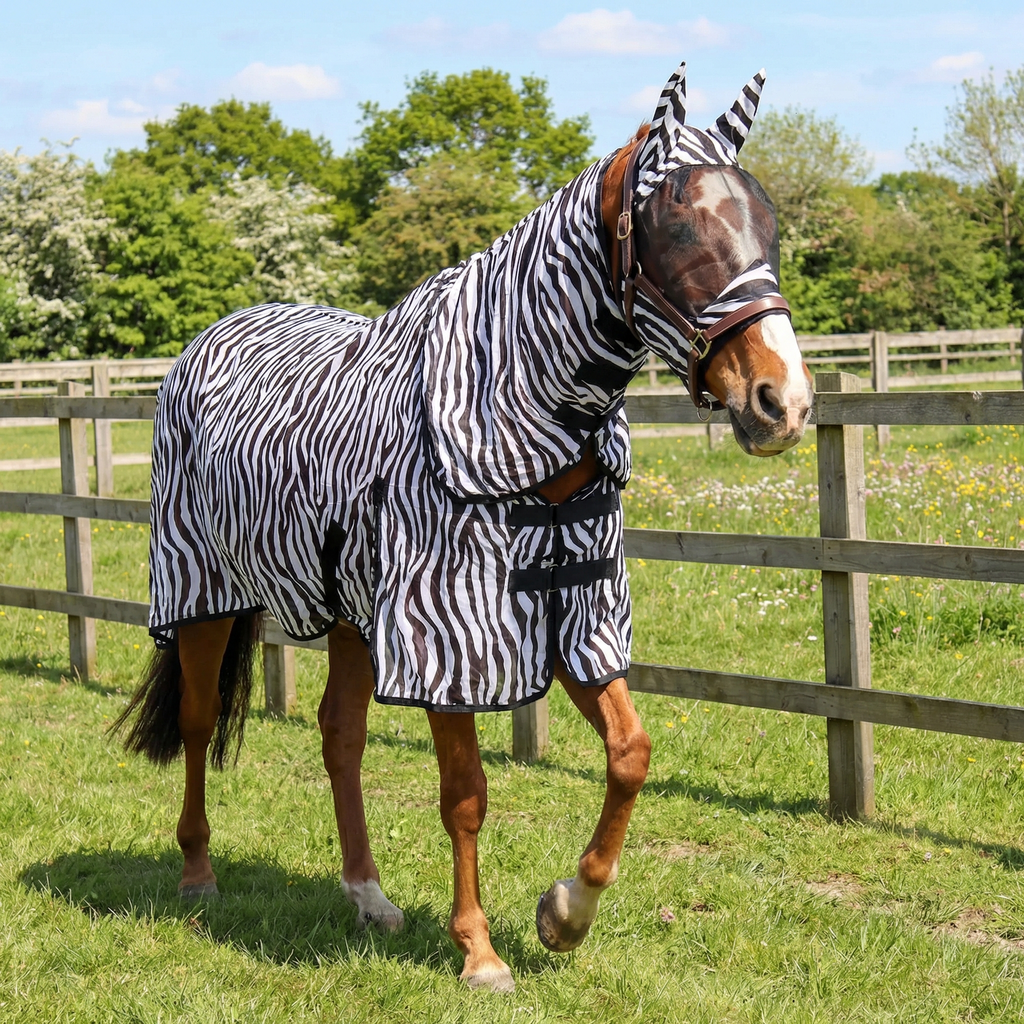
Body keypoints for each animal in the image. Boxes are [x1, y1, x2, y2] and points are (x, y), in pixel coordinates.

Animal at [113, 60, 812, 994]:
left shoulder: (573, 617)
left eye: (765, 223)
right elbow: (467, 794)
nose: (784, 403)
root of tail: (211, 337)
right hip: (202, 591)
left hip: (347, 611)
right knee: (195, 722)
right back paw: (198, 875)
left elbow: (631, 753)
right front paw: (479, 951)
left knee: (340, 736)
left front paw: (565, 914)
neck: (515, 414)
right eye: (673, 225)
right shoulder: (449, 635)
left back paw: (368, 896)